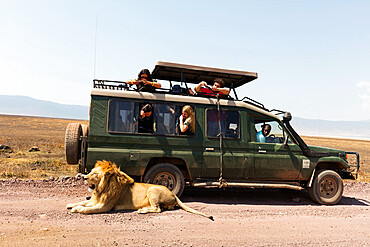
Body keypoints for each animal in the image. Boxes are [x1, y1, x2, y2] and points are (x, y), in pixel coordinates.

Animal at [66, 161, 214, 221]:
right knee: (161, 208)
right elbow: (83, 202)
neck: (102, 188)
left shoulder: (105, 206)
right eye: (91, 171)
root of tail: (173, 193)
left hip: (152, 190)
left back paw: (142, 210)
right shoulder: (96, 199)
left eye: (95, 174)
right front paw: (71, 204)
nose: (84, 177)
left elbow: (88, 209)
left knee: (157, 209)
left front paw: (77, 209)